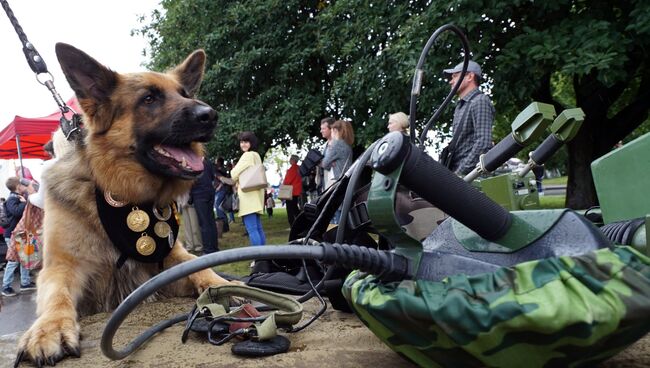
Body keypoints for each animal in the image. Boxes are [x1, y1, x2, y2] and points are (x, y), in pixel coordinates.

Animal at [13, 43, 233, 366]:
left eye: (184, 94)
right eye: (149, 98)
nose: (211, 115)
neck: (123, 194)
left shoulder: (165, 267)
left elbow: (199, 268)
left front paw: (230, 284)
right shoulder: (62, 267)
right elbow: (57, 296)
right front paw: (49, 330)